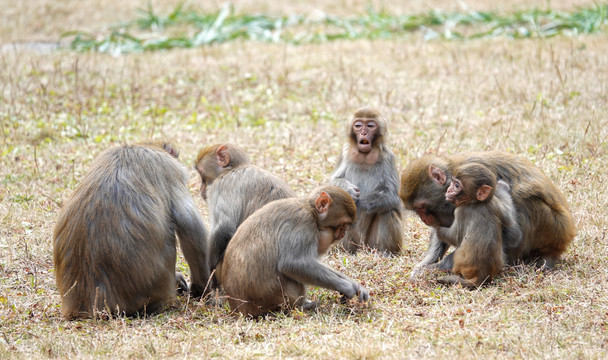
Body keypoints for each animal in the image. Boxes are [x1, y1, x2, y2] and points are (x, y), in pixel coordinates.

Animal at [328, 105, 404, 255]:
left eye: (370, 126)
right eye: (358, 125)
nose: (363, 133)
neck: (364, 155)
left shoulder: (388, 157)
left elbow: (391, 195)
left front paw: (357, 201)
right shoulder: (344, 152)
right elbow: (334, 182)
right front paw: (349, 191)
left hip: (371, 243)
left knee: (388, 210)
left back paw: (386, 253)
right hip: (347, 241)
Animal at [400, 150, 576, 278]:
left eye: (422, 207)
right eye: (416, 210)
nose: (424, 218)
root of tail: (566, 236)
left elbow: (510, 236)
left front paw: (431, 270)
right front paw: (424, 265)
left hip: (552, 227)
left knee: (525, 201)